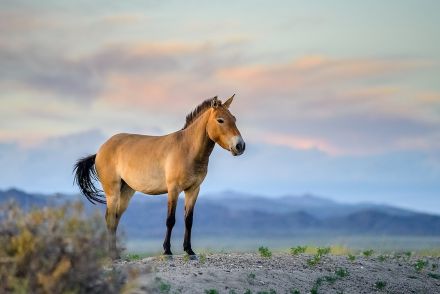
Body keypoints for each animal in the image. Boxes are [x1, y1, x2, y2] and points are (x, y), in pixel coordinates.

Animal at [72, 94, 244, 258]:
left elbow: (188, 220)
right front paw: (167, 251)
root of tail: (100, 150)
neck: (187, 149)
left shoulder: (193, 190)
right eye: (220, 120)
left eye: (234, 119)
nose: (240, 146)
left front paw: (189, 250)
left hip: (126, 191)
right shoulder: (173, 189)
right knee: (109, 219)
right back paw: (112, 256)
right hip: (112, 191)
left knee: (115, 219)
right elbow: (170, 220)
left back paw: (116, 255)